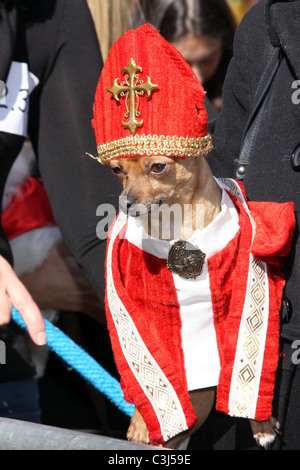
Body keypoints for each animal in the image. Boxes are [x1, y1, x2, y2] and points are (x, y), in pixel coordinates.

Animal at [108, 153, 282, 448]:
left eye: (158, 167)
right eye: (117, 170)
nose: (126, 204)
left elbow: (247, 356)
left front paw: (262, 423)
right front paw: (143, 421)